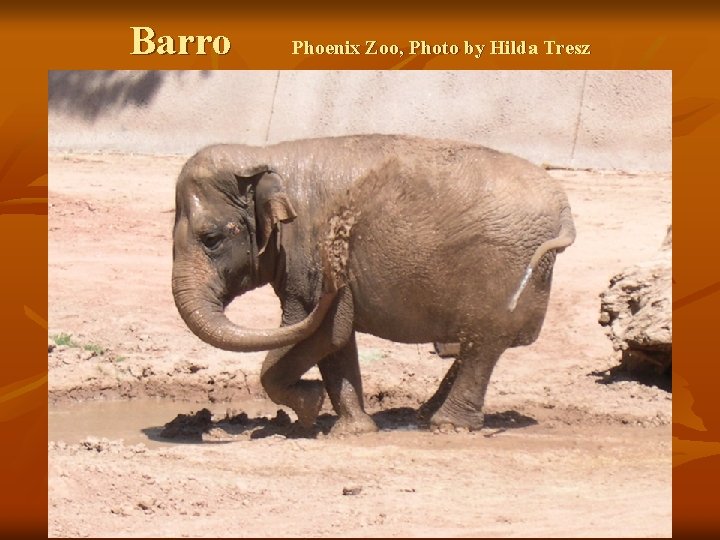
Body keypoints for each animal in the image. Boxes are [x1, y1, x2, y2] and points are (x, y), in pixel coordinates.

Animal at [170, 134, 572, 434]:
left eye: (211, 239)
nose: (339, 255)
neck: (263, 156)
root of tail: (565, 211)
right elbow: (337, 337)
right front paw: (352, 430)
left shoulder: (305, 254)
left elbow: (323, 328)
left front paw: (311, 406)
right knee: (476, 343)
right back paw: (425, 415)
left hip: (501, 267)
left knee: (482, 343)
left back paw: (447, 425)